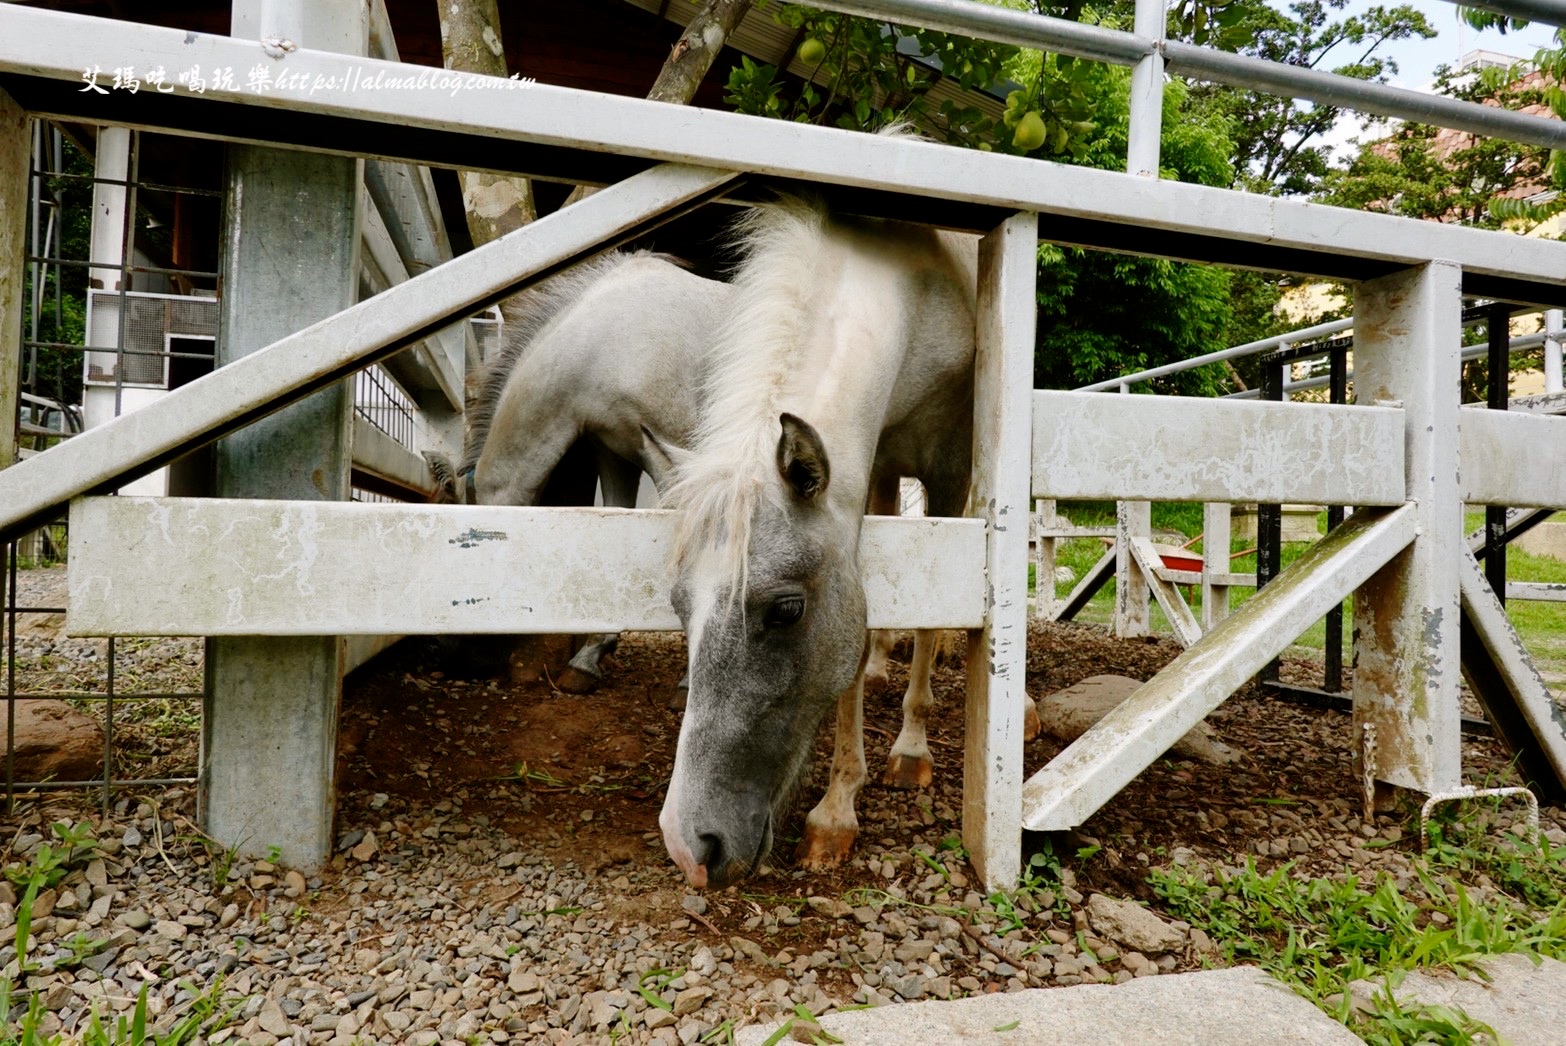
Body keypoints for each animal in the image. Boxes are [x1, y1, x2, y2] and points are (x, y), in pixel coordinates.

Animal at [645, 200, 1027, 889]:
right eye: (679, 608)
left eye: (786, 610)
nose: (689, 848)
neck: (916, 293)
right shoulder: (865, 473)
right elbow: (858, 649)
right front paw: (837, 806)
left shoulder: (948, 469)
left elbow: (934, 614)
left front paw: (909, 749)